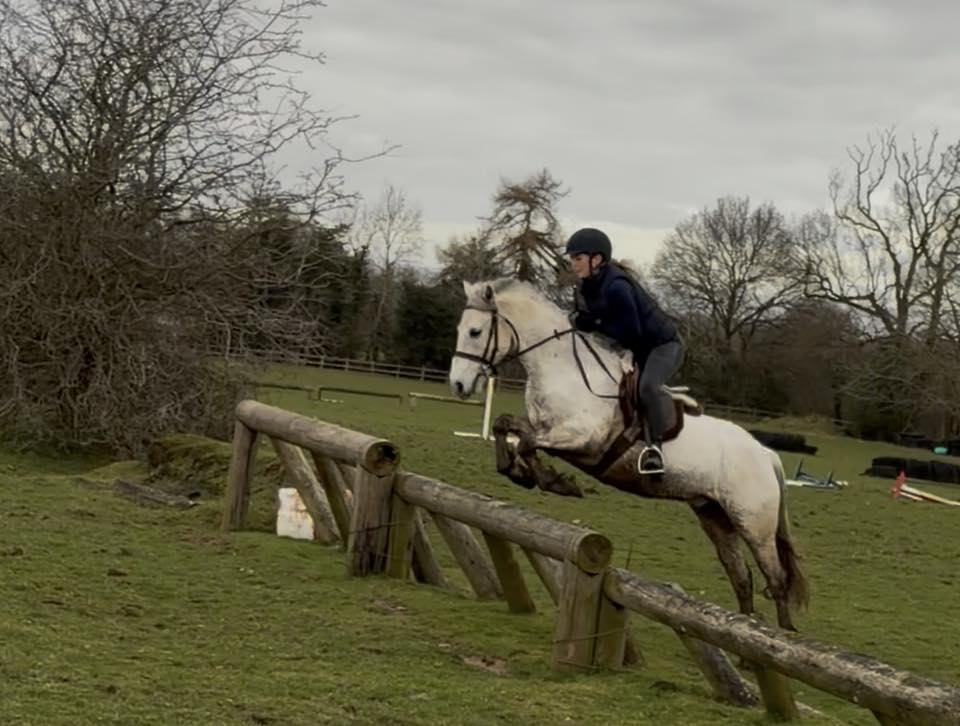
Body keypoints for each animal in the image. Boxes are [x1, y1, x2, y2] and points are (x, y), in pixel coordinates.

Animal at [447, 278, 808, 631]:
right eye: (459, 329)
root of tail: (766, 454)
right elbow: (506, 426)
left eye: (475, 332)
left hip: (753, 524)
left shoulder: (583, 440)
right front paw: (519, 471)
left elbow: (525, 442)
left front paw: (554, 482)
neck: (562, 369)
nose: (458, 385)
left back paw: (781, 636)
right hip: (715, 516)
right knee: (741, 578)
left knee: (776, 581)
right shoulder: (545, 428)